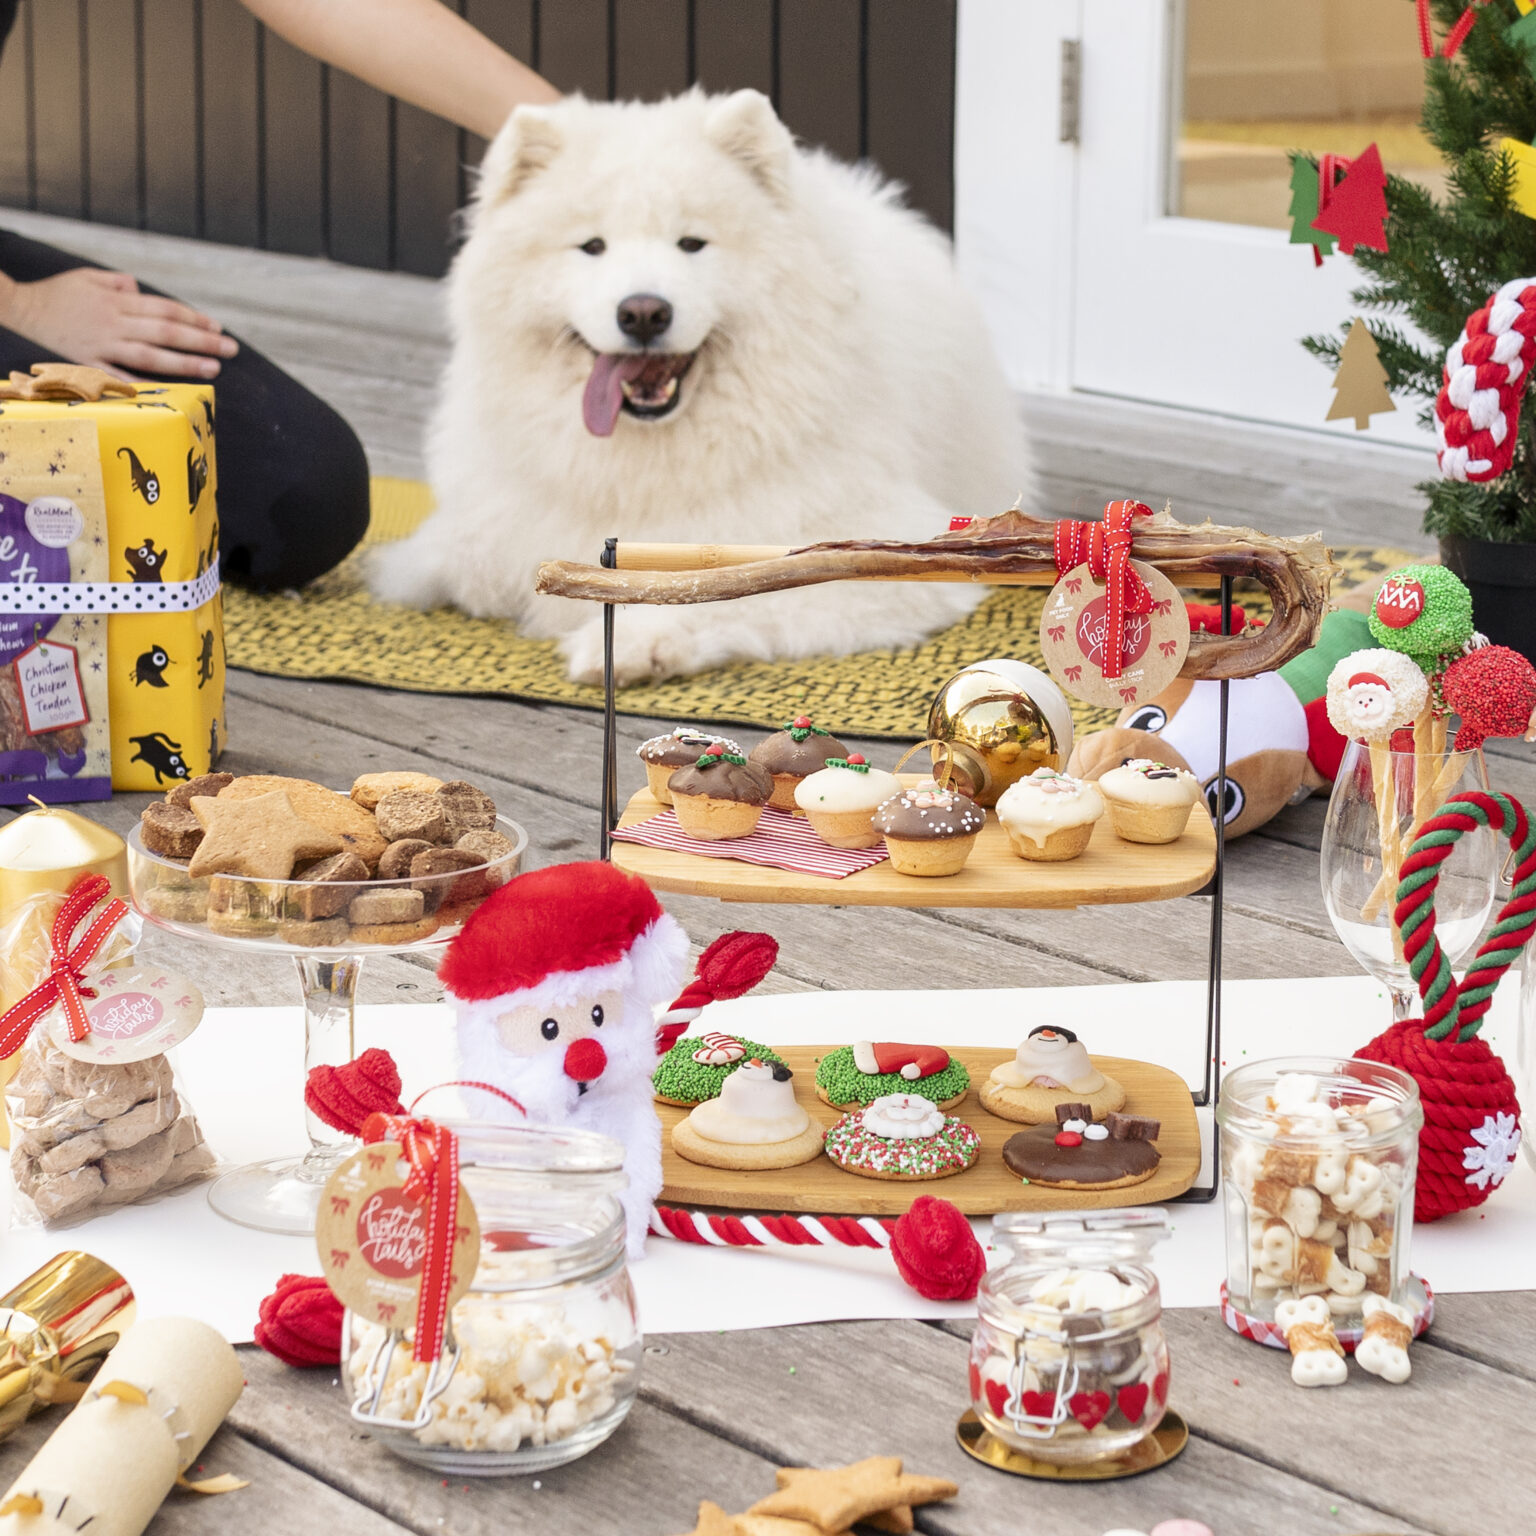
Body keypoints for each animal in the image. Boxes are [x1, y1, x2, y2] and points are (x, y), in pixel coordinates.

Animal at [373, 88, 1038, 678]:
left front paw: (633, 644)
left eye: (692, 243)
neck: (653, 461)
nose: (643, 312)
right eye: (592, 246)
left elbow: (730, 587)